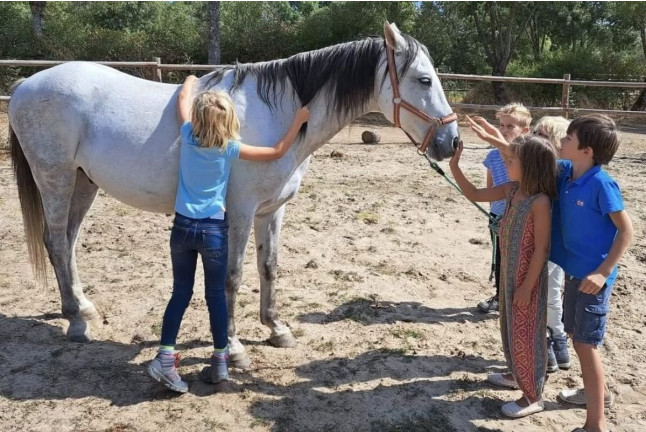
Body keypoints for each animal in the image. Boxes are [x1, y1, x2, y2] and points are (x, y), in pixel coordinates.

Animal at [9, 23, 459, 368]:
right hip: (55, 178)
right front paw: (236, 347)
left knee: (68, 241)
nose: (451, 142)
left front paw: (276, 329)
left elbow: (269, 267)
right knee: (56, 242)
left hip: (84, 182)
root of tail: (26, 84)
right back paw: (75, 322)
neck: (278, 116)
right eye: (424, 80)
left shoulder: (271, 211)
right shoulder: (240, 211)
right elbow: (233, 275)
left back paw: (84, 306)